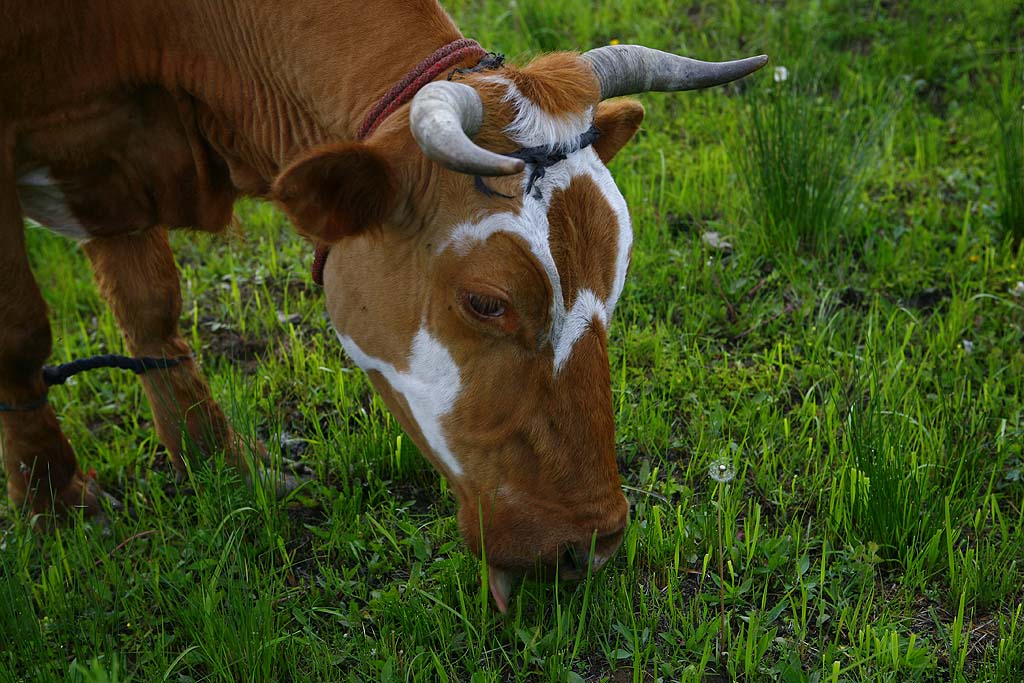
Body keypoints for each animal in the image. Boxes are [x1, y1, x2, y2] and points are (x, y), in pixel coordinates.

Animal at [2, 0, 770, 610]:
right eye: (486, 301)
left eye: (616, 276)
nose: (597, 541)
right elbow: (24, 330)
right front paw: (58, 503)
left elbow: (151, 309)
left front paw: (217, 461)